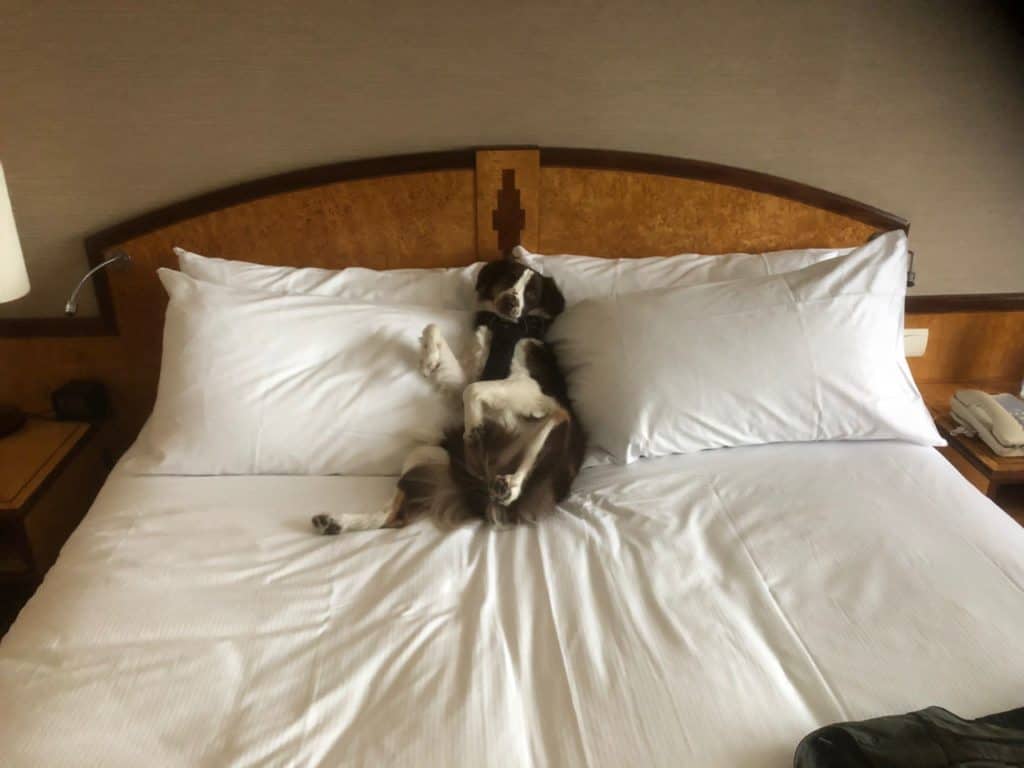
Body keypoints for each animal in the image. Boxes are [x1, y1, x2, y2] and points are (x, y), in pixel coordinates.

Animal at [309, 256, 585, 532]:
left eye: (532, 293)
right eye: (509, 278)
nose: (510, 302)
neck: (504, 328)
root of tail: (479, 488)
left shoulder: (535, 388)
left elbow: (474, 390)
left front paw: (474, 425)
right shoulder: (471, 377)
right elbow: (435, 332)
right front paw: (429, 358)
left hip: (559, 423)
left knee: (529, 461)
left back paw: (507, 484)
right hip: (427, 452)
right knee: (393, 517)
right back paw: (336, 522)